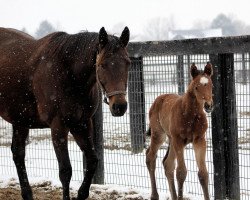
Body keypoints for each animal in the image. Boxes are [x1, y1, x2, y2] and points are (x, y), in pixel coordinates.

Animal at [0, 27, 131, 200]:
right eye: (102, 65)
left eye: (128, 63)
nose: (119, 106)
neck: (68, 73)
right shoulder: (59, 126)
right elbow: (65, 171)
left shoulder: (81, 124)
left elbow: (92, 161)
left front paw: (81, 194)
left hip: (20, 121)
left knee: (18, 154)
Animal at [146, 63, 214, 200]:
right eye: (196, 87)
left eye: (211, 85)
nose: (208, 106)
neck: (191, 115)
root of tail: (158, 99)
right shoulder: (179, 140)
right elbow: (181, 172)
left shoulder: (199, 140)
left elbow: (203, 174)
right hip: (159, 135)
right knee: (150, 158)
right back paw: (154, 195)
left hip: (171, 140)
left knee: (168, 164)